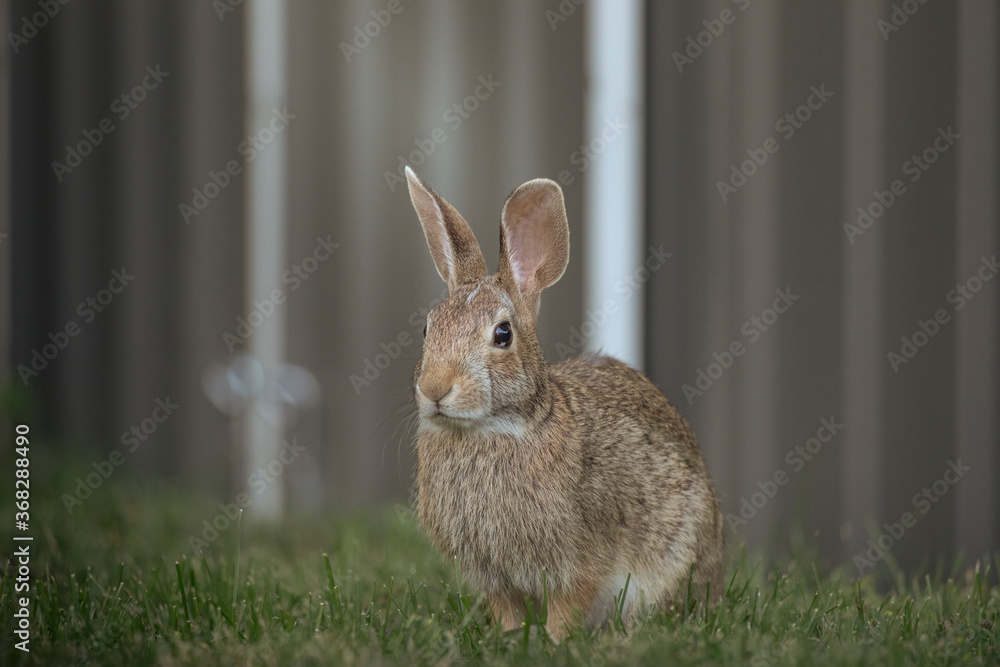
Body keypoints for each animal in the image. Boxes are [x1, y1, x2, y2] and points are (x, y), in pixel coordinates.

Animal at [404, 166, 724, 639]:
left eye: (503, 334)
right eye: (428, 329)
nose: (435, 388)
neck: (495, 428)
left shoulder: (582, 562)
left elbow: (567, 606)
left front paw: (554, 643)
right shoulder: (493, 577)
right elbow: (506, 610)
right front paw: (510, 638)